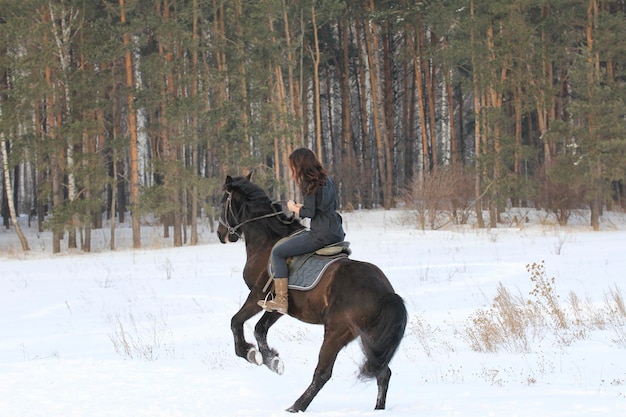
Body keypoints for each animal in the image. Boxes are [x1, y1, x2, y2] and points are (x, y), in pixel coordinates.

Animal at [217, 173, 408, 412]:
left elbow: (236, 322)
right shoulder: (277, 306)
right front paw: (272, 361)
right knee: (383, 373)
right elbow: (260, 329)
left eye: (222, 201)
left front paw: (251, 354)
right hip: (370, 338)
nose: (221, 234)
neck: (267, 242)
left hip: (336, 332)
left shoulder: (256, 296)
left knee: (323, 373)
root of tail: (386, 293)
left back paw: (295, 406)